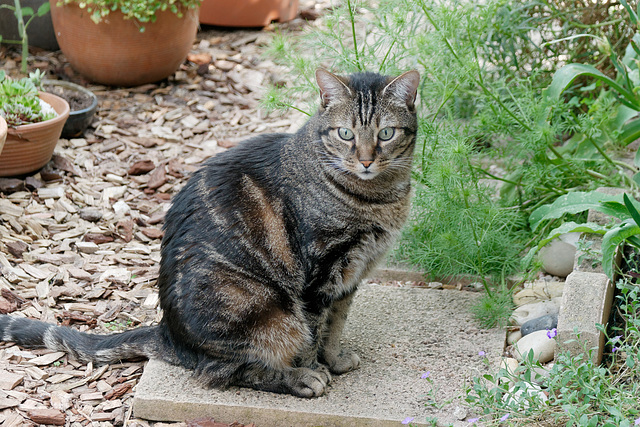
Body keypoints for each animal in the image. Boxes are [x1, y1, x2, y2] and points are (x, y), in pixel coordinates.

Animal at [0, 69, 420, 398]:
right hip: (266, 311)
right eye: (346, 133)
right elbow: (313, 335)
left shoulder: (350, 276)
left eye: (385, 133)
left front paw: (334, 360)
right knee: (229, 371)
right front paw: (314, 368)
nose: (365, 160)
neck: (377, 198)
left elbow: (335, 326)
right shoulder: (320, 275)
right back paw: (297, 379)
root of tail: (168, 334)